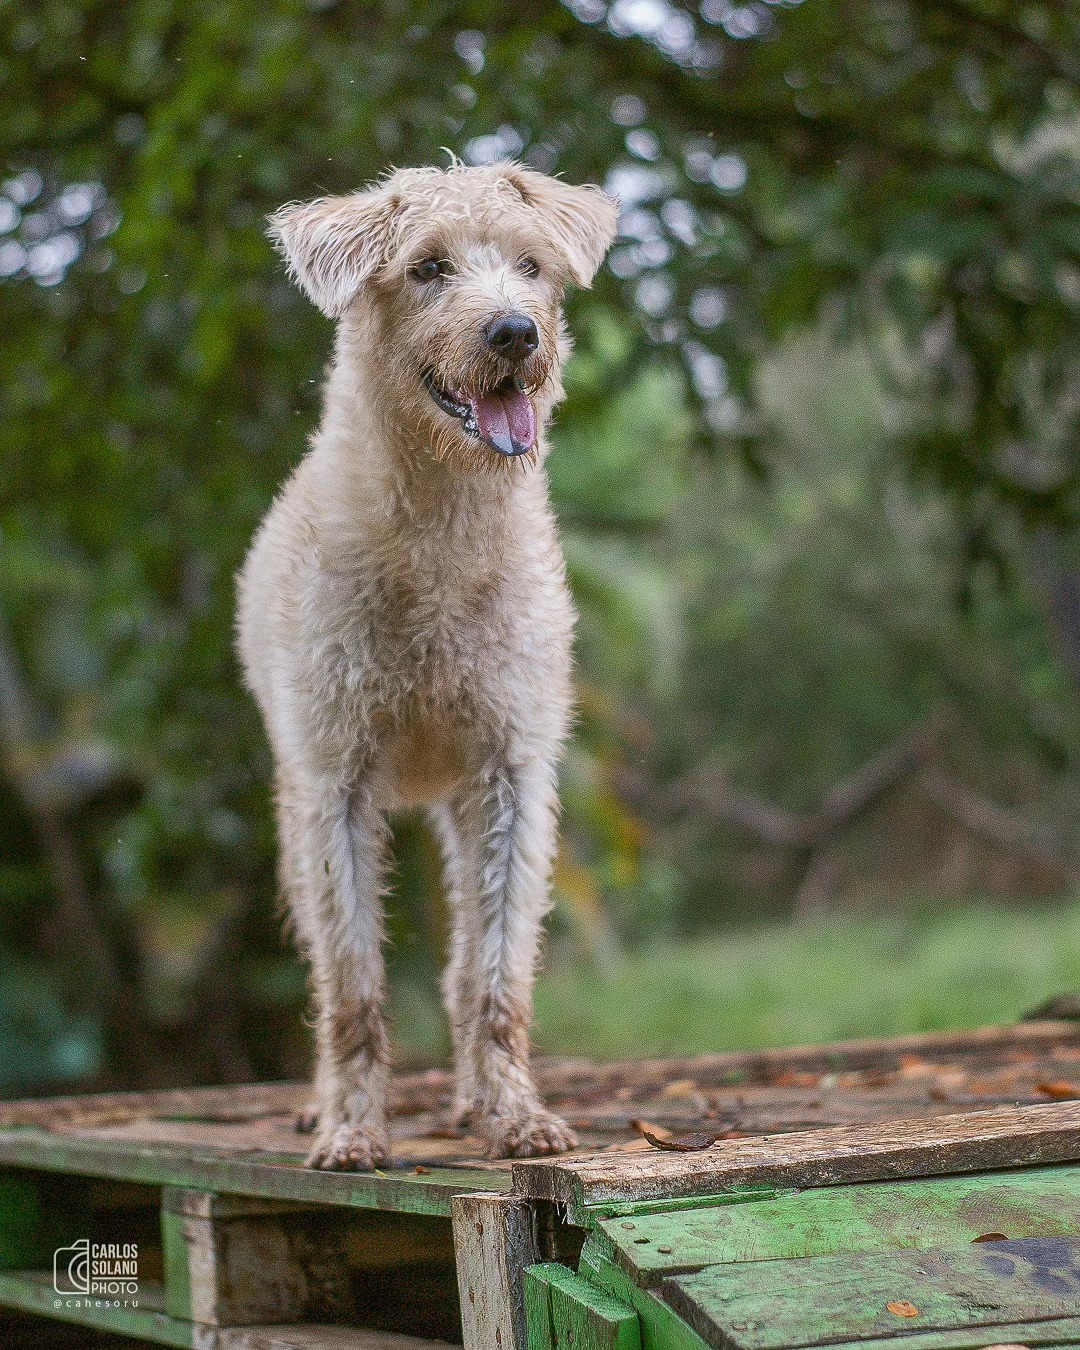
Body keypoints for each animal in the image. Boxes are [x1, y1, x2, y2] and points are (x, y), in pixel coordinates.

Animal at [240, 160, 621, 1171]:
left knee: (458, 972)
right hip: (296, 807)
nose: (515, 332)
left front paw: (518, 1117)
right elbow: (352, 987)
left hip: (455, 801)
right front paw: (352, 1130)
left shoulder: (511, 773)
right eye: (426, 269)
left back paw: (471, 1101)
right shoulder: (333, 784)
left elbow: (493, 977)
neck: (440, 543)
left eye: (531, 265)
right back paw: (324, 1106)